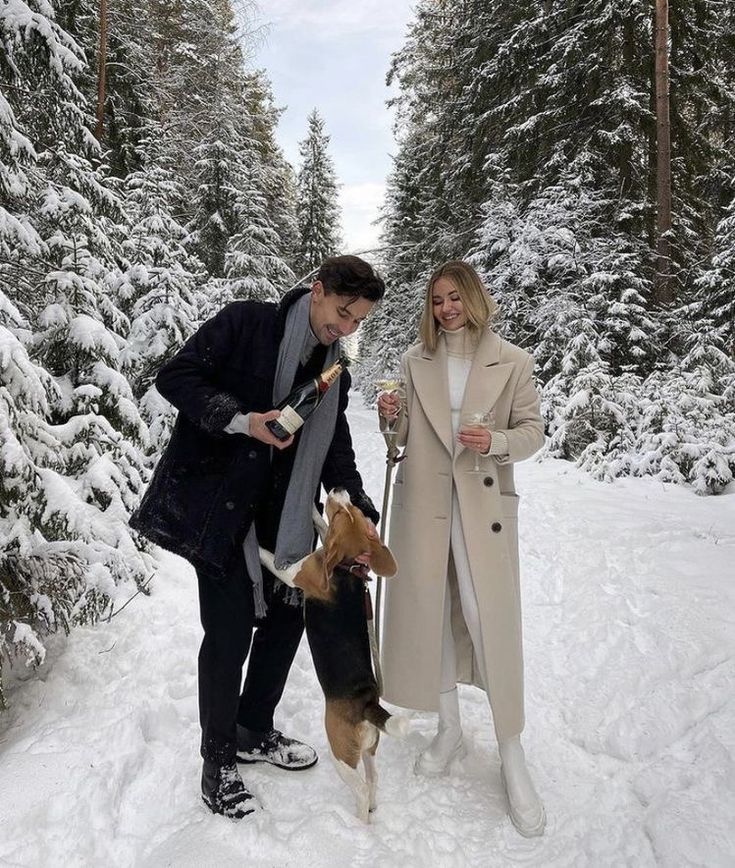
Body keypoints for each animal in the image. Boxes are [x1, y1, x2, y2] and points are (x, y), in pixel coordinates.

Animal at [258, 488, 406, 820]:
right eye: (351, 510)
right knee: (373, 778)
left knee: (361, 787)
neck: (347, 568)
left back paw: (359, 822)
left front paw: (252, 540)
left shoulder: (297, 572)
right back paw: (372, 807)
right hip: (369, 749)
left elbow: (270, 558)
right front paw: (313, 510)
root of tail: (367, 703)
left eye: (341, 513)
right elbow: (322, 530)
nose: (339, 490)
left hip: (340, 752)